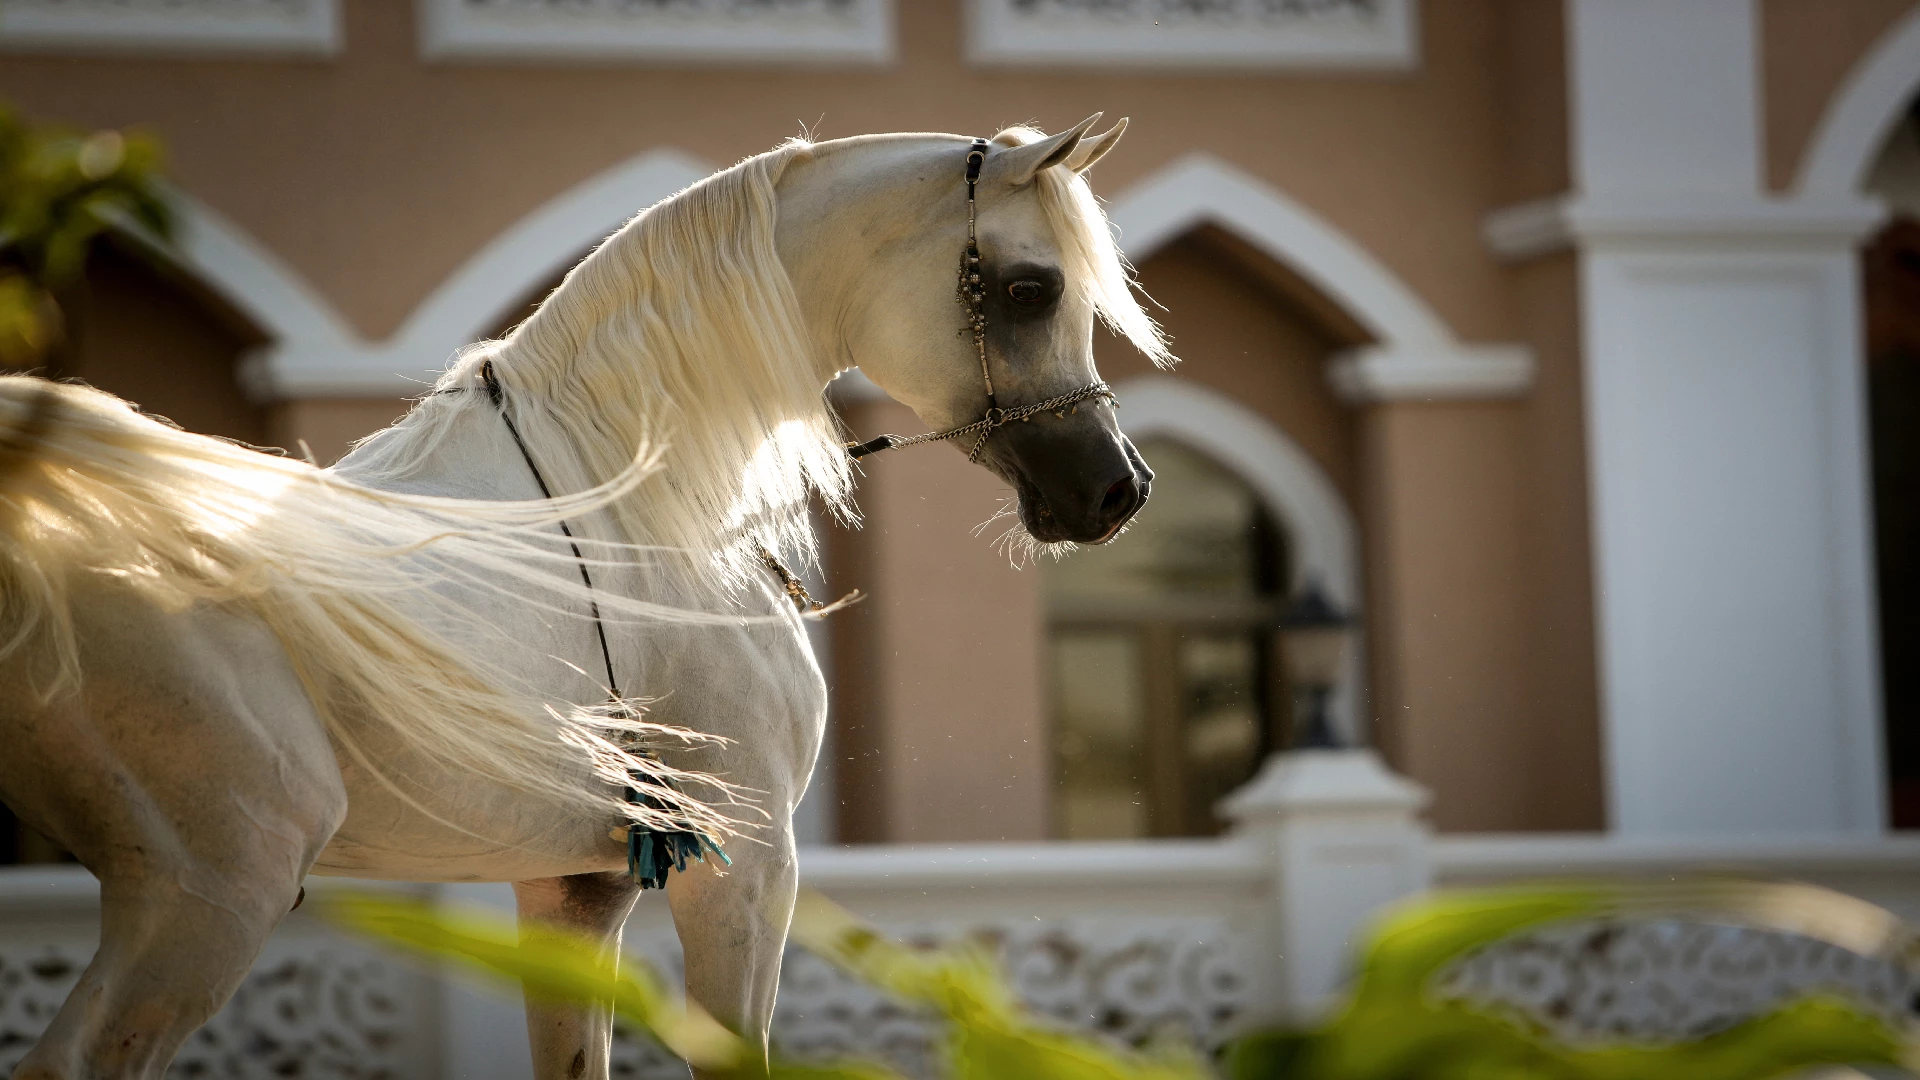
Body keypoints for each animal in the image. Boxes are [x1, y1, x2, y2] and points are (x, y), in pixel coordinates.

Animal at [0, 113, 1167, 1068]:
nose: (1118, 490)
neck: (629, 504)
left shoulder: (575, 893)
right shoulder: (746, 873)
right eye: (1031, 288)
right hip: (210, 894)